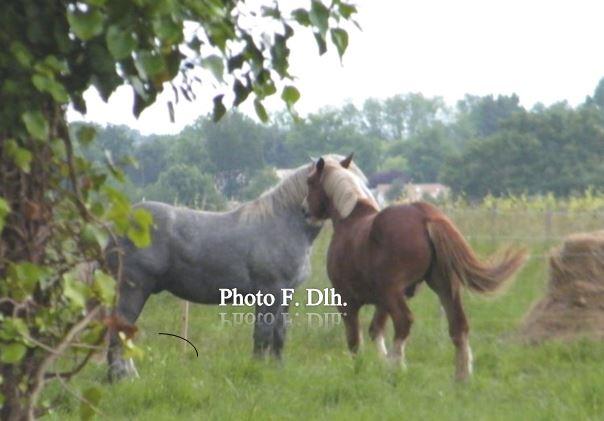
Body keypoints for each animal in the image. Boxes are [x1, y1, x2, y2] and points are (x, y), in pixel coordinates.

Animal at [107, 155, 372, 380]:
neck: (283, 224)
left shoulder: (286, 294)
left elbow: (279, 334)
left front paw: (278, 370)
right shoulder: (270, 292)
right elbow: (262, 334)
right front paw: (257, 369)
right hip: (134, 289)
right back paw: (121, 378)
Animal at [304, 155, 528, 380]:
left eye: (310, 182)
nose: (306, 212)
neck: (350, 220)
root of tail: (424, 215)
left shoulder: (347, 300)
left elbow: (355, 341)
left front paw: (361, 369)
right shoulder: (381, 302)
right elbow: (375, 330)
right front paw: (379, 364)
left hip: (394, 291)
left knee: (404, 322)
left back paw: (396, 368)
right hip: (445, 287)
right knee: (459, 327)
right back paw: (461, 377)